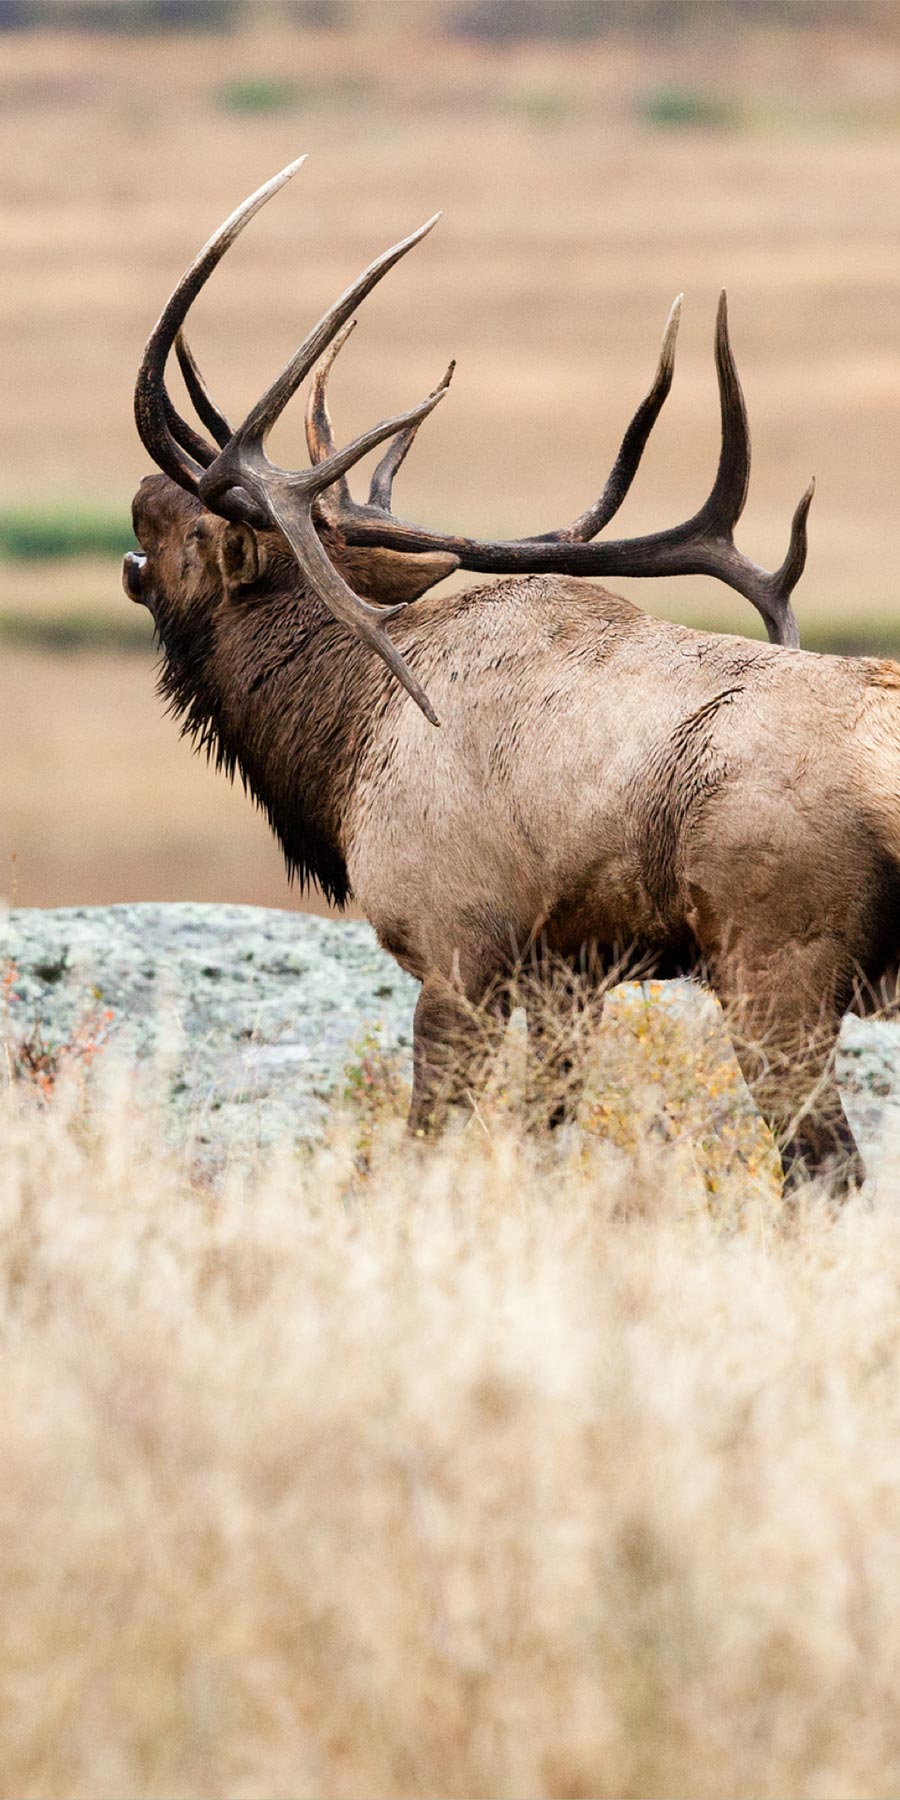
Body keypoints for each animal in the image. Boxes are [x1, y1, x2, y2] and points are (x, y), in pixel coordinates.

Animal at [124, 157, 900, 1197]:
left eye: (191, 527)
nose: (139, 491)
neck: (340, 749)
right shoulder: (568, 973)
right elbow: (543, 1136)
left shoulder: (454, 944)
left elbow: (429, 1136)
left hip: (775, 960)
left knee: (828, 1169)